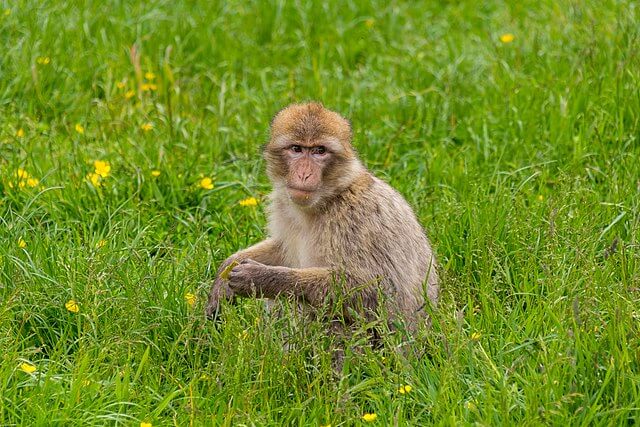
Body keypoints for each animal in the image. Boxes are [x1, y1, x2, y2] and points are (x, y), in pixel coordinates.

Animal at [205, 102, 439, 360]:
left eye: (319, 151)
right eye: (297, 149)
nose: (304, 174)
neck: (326, 201)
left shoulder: (356, 218)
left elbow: (378, 289)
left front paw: (262, 278)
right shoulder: (284, 207)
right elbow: (281, 249)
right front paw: (227, 269)